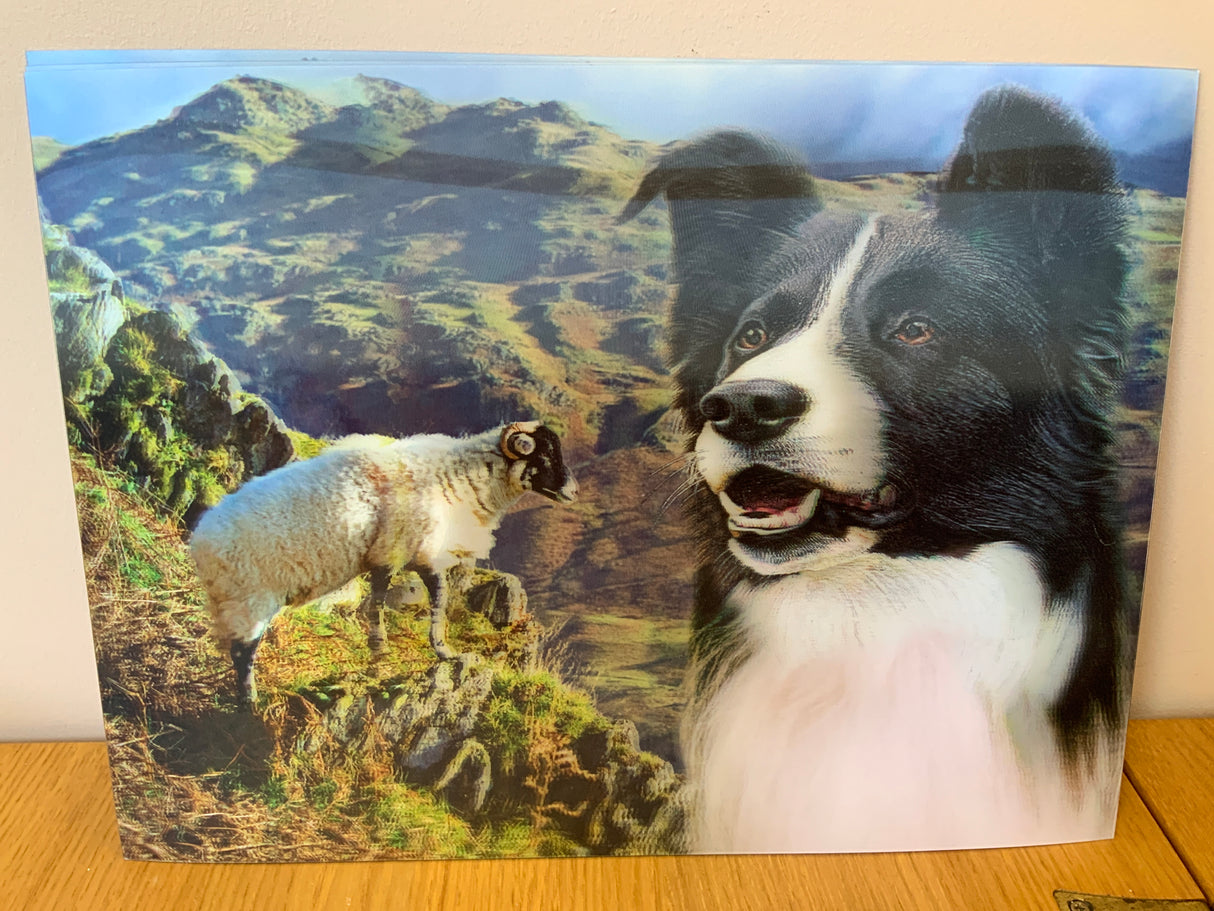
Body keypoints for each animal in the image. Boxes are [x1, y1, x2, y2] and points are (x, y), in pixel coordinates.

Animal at [190, 421, 578, 705]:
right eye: (544, 457)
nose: (574, 492)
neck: (458, 481)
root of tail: (200, 542)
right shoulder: (401, 552)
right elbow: (416, 600)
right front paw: (415, 652)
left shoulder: (399, 555)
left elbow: (414, 600)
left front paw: (422, 651)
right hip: (249, 601)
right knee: (242, 654)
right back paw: (250, 703)